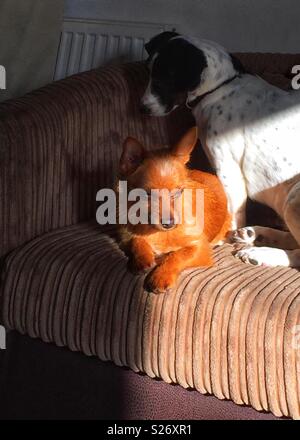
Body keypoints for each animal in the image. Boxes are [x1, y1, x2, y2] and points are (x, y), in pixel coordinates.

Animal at [117, 127, 230, 292]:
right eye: (147, 194)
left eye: (178, 192)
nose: (169, 223)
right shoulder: (126, 235)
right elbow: (136, 240)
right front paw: (142, 258)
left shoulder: (199, 247)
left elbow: (178, 255)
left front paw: (161, 275)